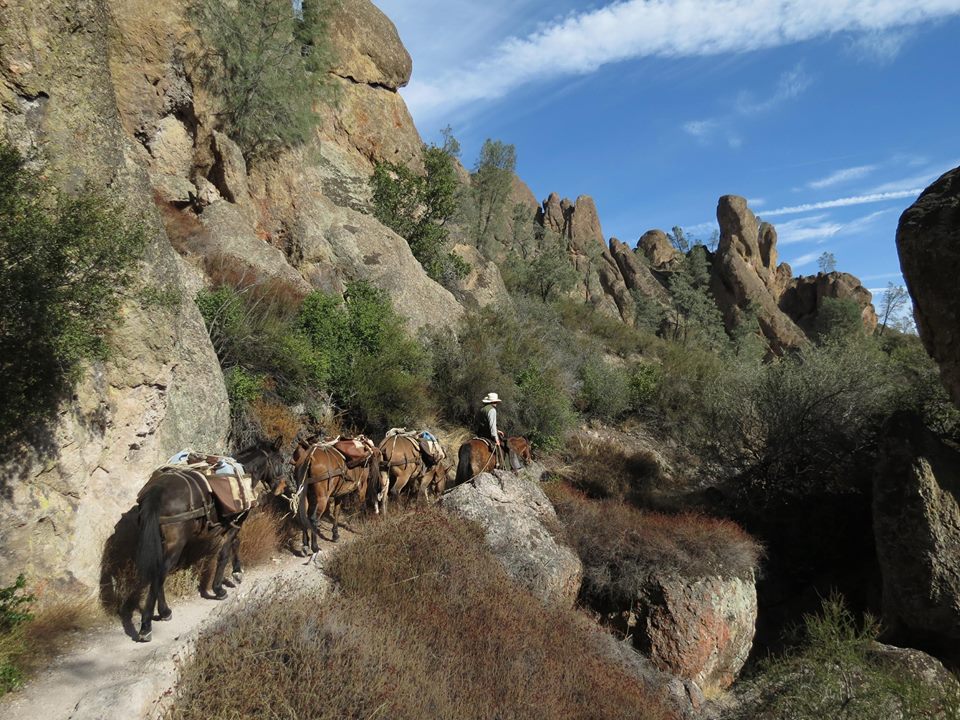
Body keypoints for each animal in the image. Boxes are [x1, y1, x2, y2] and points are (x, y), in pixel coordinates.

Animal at [135, 434, 286, 640]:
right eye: (281, 461)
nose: (282, 488)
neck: (243, 472)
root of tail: (157, 490)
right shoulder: (235, 523)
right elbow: (224, 553)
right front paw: (219, 588)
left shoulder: (233, 524)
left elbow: (235, 543)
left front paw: (237, 572)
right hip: (175, 544)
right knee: (160, 573)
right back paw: (146, 625)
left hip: (161, 541)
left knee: (157, 572)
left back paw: (164, 612)